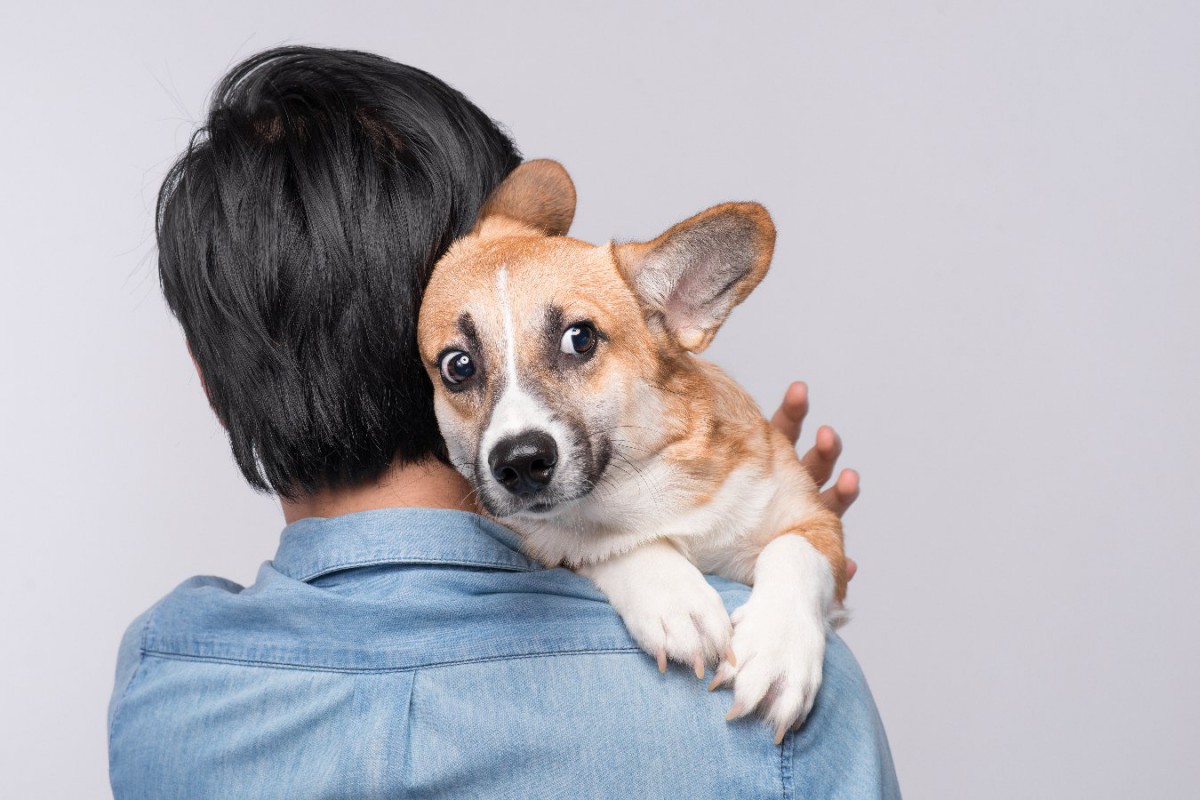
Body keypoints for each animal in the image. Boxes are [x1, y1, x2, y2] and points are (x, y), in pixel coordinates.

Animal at [417, 159, 849, 743]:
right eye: (458, 366)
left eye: (580, 338)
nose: (520, 463)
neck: (644, 485)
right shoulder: (544, 535)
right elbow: (597, 544)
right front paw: (675, 598)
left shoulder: (816, 523)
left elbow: (795, 552)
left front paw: (779, 653)